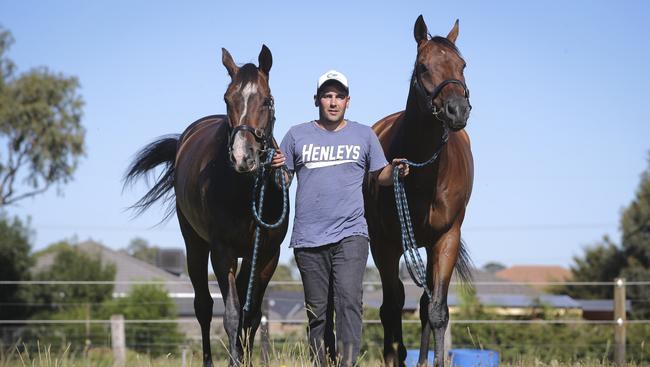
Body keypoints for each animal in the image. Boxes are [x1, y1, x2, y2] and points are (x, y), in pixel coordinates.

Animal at [125, 46, 288, 367]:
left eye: (267, 100)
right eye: (227, 99)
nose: (242, 156)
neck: (247, 191)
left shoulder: (266, 255)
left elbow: (252, 315)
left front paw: (245, 359)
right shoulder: (222, 252)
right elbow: (232, 314)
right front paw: (234, 361)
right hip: (195, 245)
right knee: (203, 306)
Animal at [362, 15, 474, 366]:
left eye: (462, 65)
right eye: (424, 66)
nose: (457, 110)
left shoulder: (446, 238)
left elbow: (437, 310)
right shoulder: (385, 244)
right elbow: (391, 307)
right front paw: (394, 356)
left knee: (426, 306)